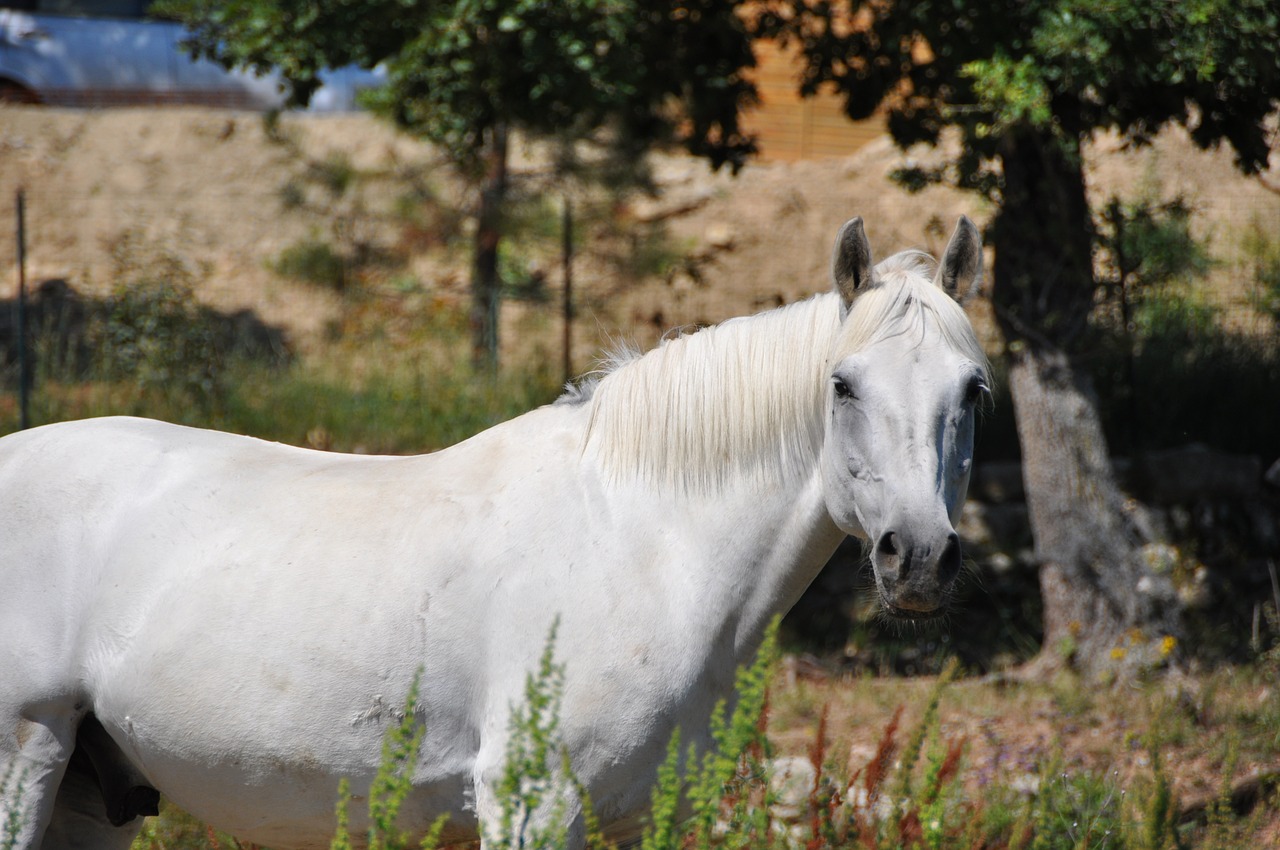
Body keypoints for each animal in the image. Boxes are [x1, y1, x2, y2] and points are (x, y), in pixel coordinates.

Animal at [0, 216, 988, 844]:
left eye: (973, 390)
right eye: (843, 385)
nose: (918, 560)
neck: (646, 549)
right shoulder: (532, 811)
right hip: (27, 758)